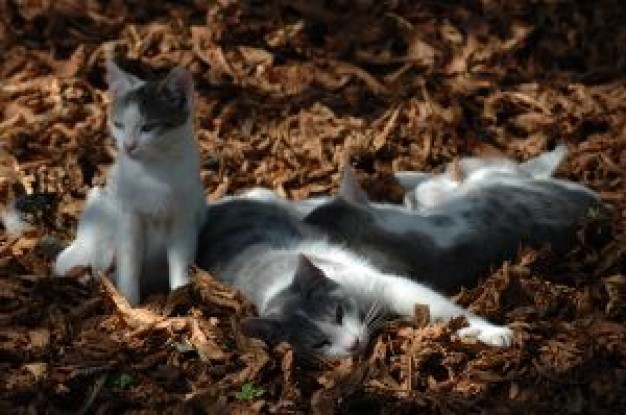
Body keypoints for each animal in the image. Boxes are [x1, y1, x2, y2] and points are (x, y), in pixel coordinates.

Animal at [54, 59, 205, 306]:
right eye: (119, 125)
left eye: (148, 127)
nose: (128, 146)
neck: (154, 171)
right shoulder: (128, 218)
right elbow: (130, 261)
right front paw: (129, 303)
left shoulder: (183, 217)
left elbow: (181, 259)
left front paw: (180, 294)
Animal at [197, 198, 516, 358]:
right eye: (319, 344)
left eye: (338, 314)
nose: (352, 345)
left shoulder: (382, 282)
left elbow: (435, 304)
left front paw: (489, 331)